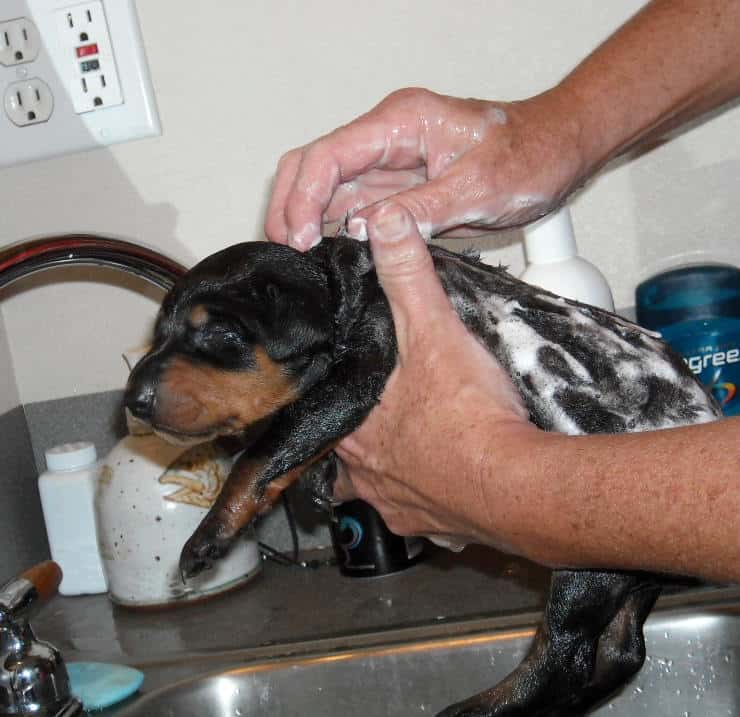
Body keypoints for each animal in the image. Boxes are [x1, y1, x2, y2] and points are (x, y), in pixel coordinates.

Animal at [124, 236, 720, 716]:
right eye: (159, 333)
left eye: (219, 333)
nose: (133, 401)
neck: (345, 288)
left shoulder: (362, 367)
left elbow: (265, 447)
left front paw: (208, 537)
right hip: (623, 567)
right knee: (621, 650)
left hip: (583, 557)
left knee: (567, 657)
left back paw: (477, 708)